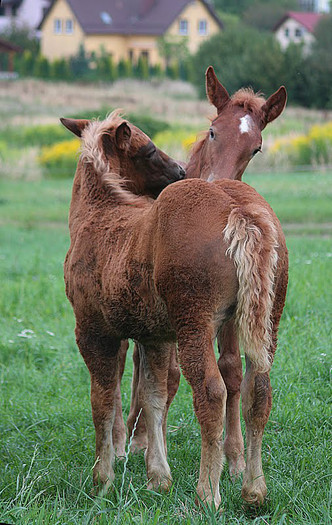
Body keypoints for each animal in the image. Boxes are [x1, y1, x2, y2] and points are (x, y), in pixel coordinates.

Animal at [61, 107, 288, 508]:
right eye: (151, 150)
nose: (181, 171)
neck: (100, 215)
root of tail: (240, 209)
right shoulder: (154, 337)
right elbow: (153, 396)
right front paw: (158, 478)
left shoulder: (92, 330)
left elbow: (102, 398)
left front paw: (102, 481)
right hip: (266, 321)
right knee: (258, 391)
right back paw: (253, 490)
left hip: (195, 321)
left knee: (212, 392)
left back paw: (208, 493)